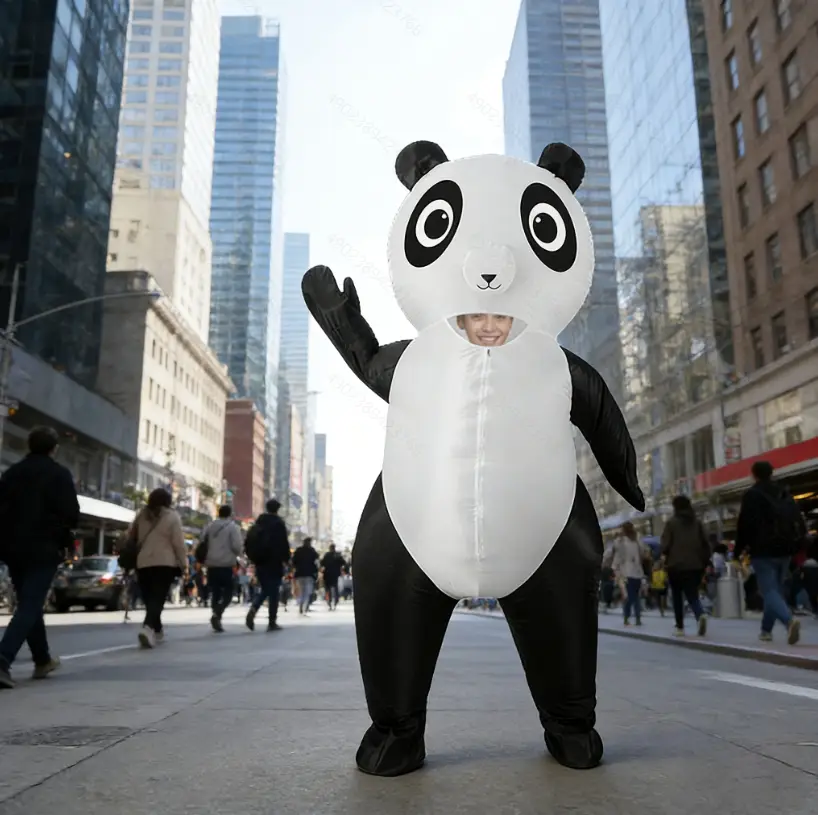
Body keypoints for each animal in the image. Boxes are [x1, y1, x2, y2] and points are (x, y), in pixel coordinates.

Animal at [302, 140, 645, 778]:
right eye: (436, 221)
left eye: (545, 226)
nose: (489, 273)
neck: (487, 352)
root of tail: (476, 585)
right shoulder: (401, 363)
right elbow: (369, 361)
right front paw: (327, 294)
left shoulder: (575, 373)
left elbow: (604, 411)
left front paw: (633, 489)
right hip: (396, 546)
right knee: (392, 623)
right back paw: (389, 747)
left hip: (557, 550)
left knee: (562, 627)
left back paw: (575, 739)